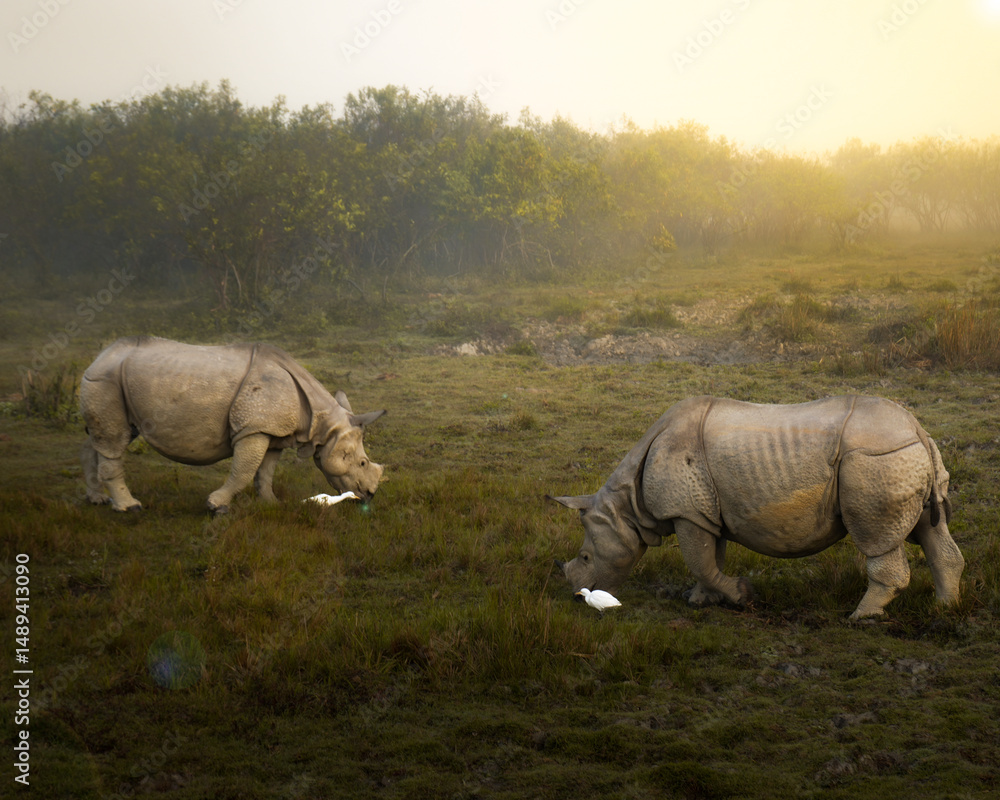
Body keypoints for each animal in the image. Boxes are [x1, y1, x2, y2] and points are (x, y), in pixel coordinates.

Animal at [80, 336, 385, 514]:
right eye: (362, 463)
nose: (370, 495)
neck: (324, 422)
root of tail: (99, 356)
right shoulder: (254, 428)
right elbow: (244, 470)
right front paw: (216, 506)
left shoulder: (272, 431)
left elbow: (265, 473)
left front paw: (272, 504)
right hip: (107, 379)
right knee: (113, 441)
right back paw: (129, 508)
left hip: (115, 379)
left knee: (103, 439)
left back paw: (97, 500)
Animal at [553, 395, 965, 620]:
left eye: (586, 558)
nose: (575, 593)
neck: (625, 504)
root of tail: (917, 429)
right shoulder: (704, 510)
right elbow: (710, 557)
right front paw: (701, 600)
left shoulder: (686, 510)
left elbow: (700, 560)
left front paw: (741, 596)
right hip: (904, 455)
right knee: (930, 530)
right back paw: (944, 608)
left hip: (874, 459)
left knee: (878, 539)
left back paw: (860, 616)